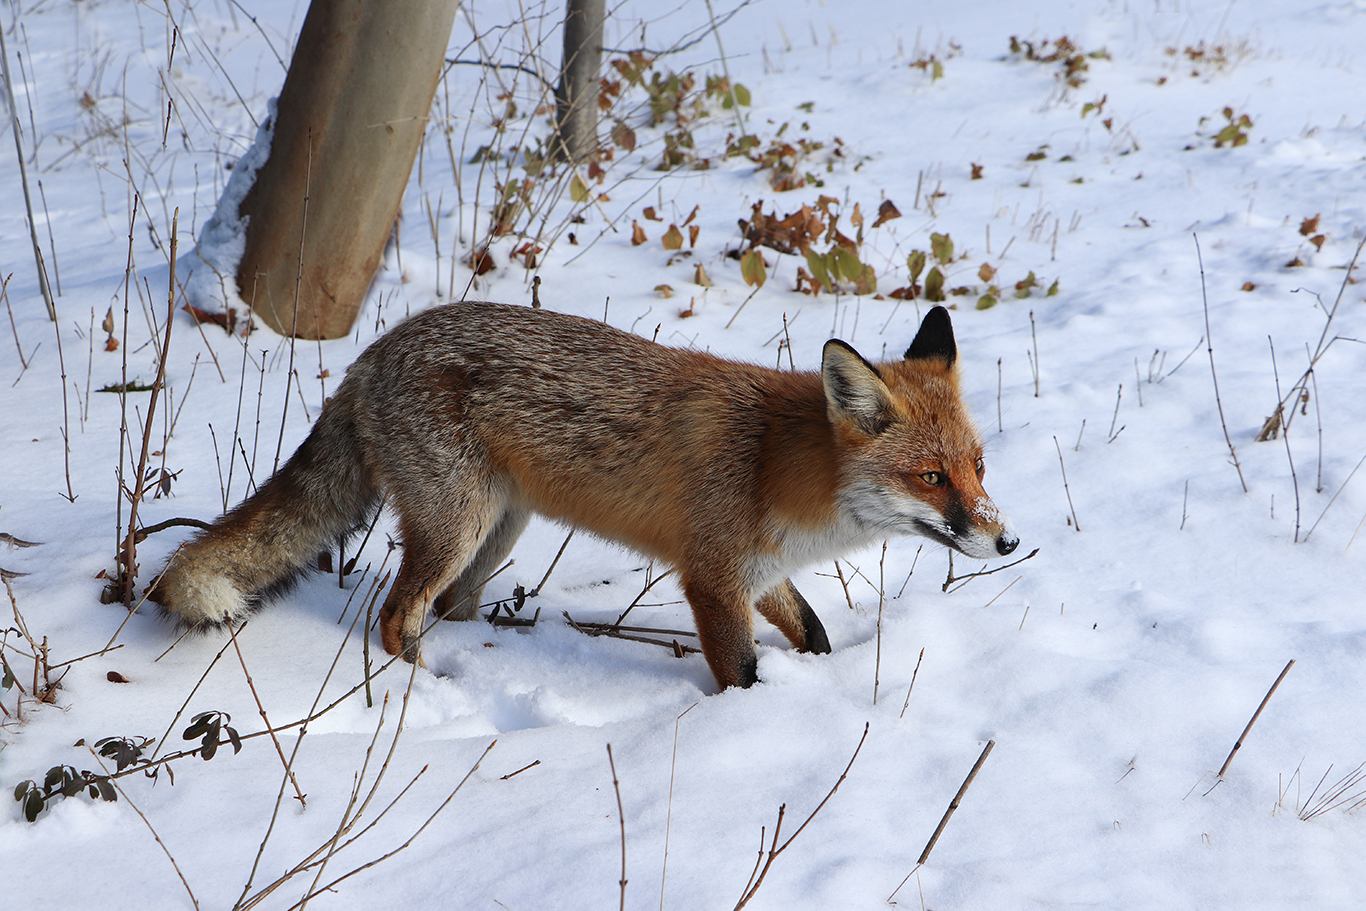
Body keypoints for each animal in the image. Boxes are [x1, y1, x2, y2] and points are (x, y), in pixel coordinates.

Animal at [155, 303, 1021, 688]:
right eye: (931, 477)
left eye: (979, 466)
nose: (1006, 540)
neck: (778, 463)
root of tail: (373, 350)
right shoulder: (712, 579)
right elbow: (741, 670)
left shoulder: (755, 571)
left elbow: (813, 632)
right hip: (455, 526)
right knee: (395, 617)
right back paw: (429, 693)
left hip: (497, 531)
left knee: (446, 609)